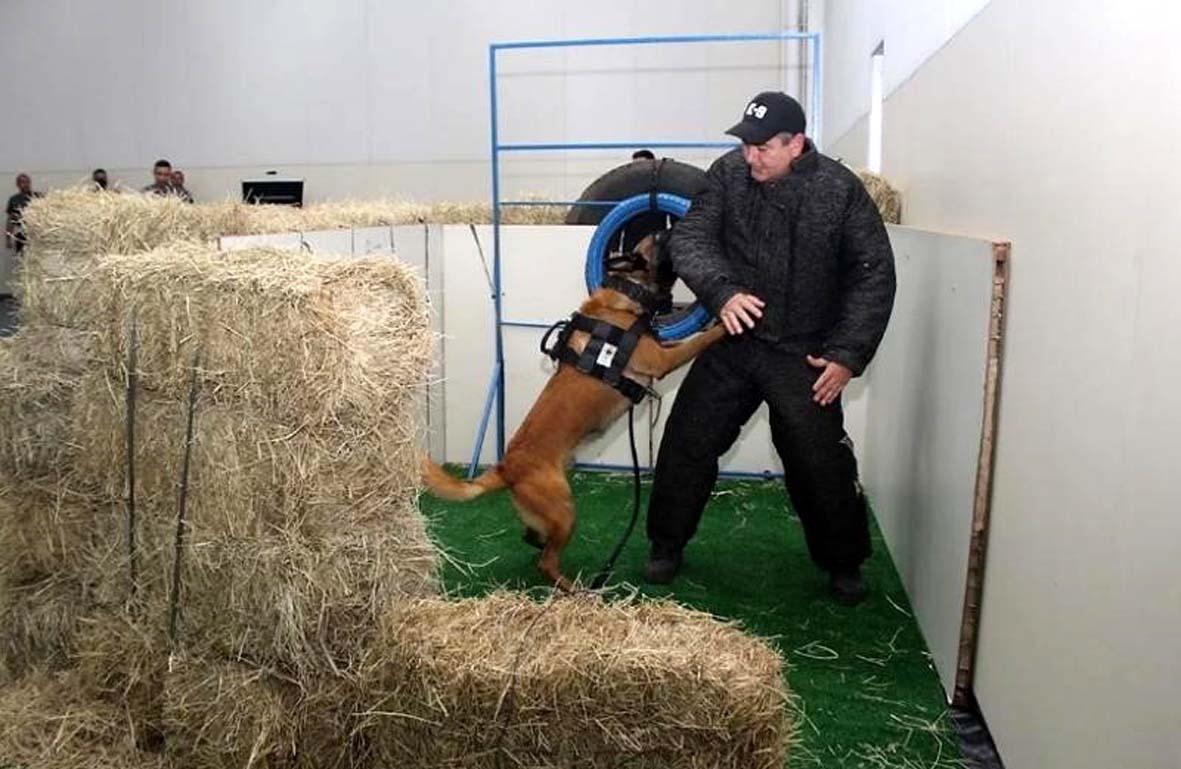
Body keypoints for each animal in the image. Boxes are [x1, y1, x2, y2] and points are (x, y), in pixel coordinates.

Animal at [420, 232, 722, 590]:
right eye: (662, 238)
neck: (626, 294)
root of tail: (506, 469)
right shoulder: (662, 360)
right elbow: (700, 340)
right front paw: (728, 321)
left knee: (534, 540)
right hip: (565, 510)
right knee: (547, 562)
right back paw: (576, 589)